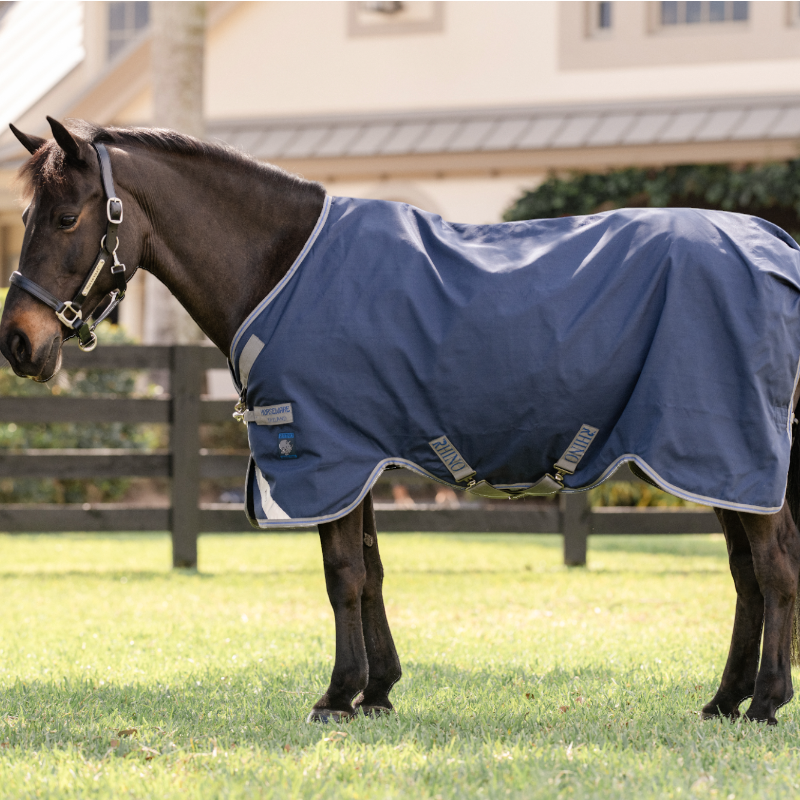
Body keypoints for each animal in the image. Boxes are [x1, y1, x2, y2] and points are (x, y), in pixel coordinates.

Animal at [2, 117, 800, 726]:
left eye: (67, 218)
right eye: (26, 217)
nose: (18, 343)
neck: (280, 265)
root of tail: (778, 248)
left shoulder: (325, 456)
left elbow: (343, 576)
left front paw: (337, 696)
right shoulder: (359, 460)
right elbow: (373, 572)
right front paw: (378, 690)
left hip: (727, 449)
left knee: (773, 566)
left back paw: (764, 702)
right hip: (716, 463)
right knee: (747, 572)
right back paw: (725, 701)